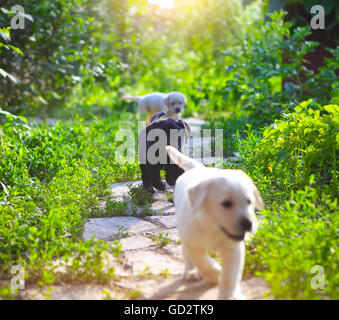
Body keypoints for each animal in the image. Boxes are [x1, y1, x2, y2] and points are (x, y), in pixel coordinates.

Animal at [166, 146, 264, 302]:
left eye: (249, 202)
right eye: (226, 204)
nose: (248, 224)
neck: (211, 226)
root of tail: (198, 169)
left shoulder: (232, 248)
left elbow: (230, 275)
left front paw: (230, 295)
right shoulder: (192, 241)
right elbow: (201, 260)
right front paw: (214, 273)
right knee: (187, 255)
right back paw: (190, 272)